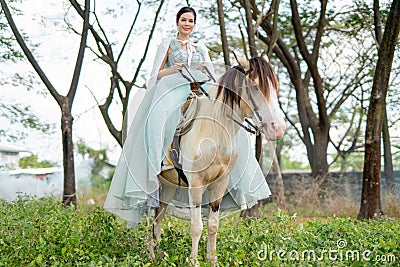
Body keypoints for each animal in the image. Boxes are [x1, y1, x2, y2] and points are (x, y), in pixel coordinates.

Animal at [149, 52, 284, 266]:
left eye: (276, 86)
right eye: (255, 87)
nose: (278, 129)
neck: (214, 131)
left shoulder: (220, 184)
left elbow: (212, 224)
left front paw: (212, 259)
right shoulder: (196, 184)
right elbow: (196, 226)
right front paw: (194, 261)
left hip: (168, 186)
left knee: (158, 216)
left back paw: (160, 254)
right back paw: (150, 254)